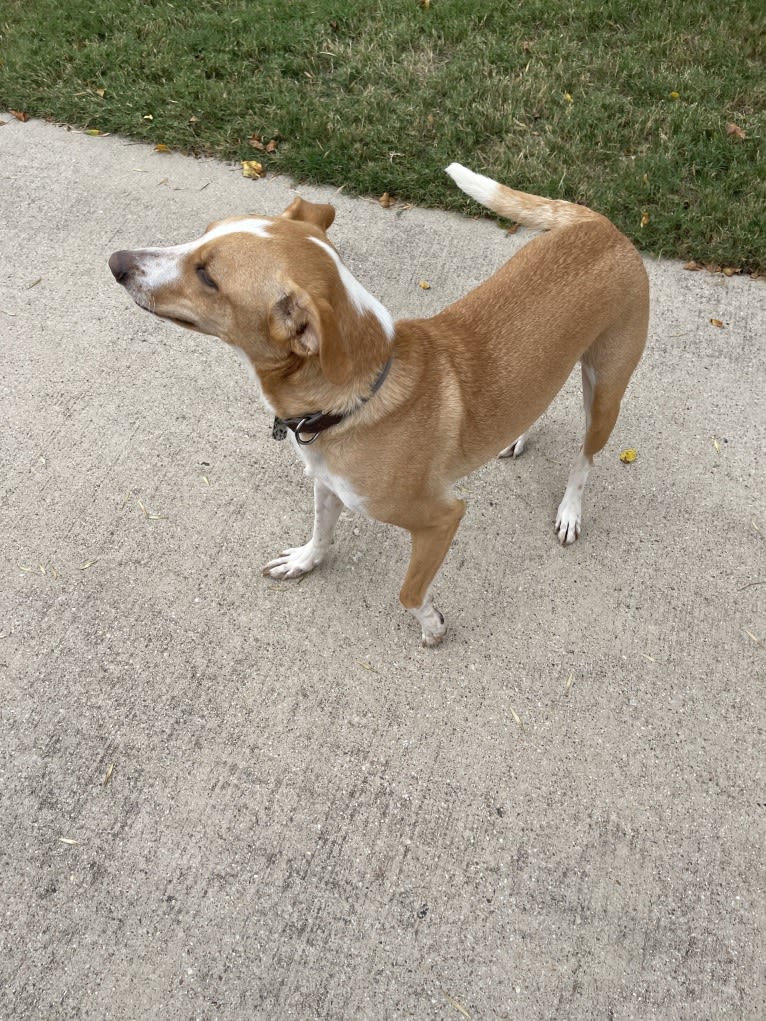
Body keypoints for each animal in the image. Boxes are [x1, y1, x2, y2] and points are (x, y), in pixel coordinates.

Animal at [108, 166, 649, 645]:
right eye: (201, 237)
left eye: (207, 276)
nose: (115, 262)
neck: (354, 402)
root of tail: (598, 224)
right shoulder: (327, 485)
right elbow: (321, 533)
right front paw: (304, 562)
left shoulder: (441, 518)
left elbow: (409, 593)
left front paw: (432, 627)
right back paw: (518, 436)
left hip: (606, 391)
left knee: (585, 459)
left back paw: (570, 510)